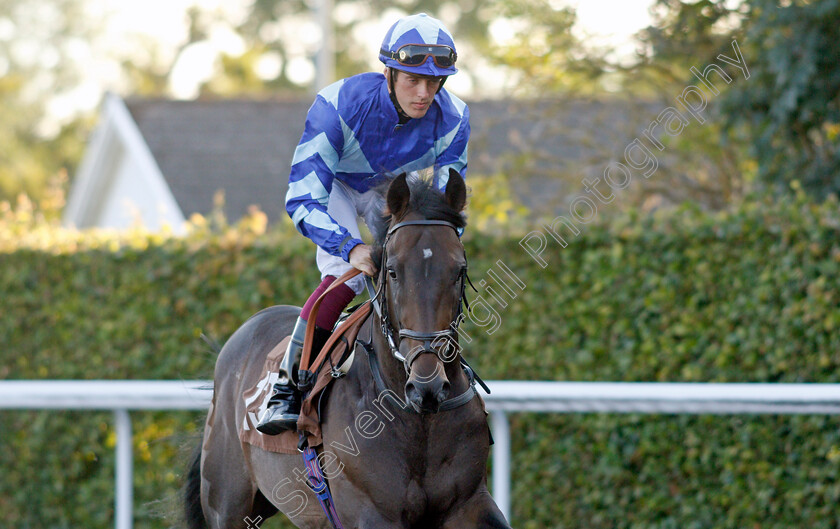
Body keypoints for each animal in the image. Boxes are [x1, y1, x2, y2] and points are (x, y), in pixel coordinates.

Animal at [185, 171, 512, 524]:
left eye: (459, 270)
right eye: (392, 271)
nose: (428, 385)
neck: (419, 421)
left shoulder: (470, 502)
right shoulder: (372, 511)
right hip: (227, 504)